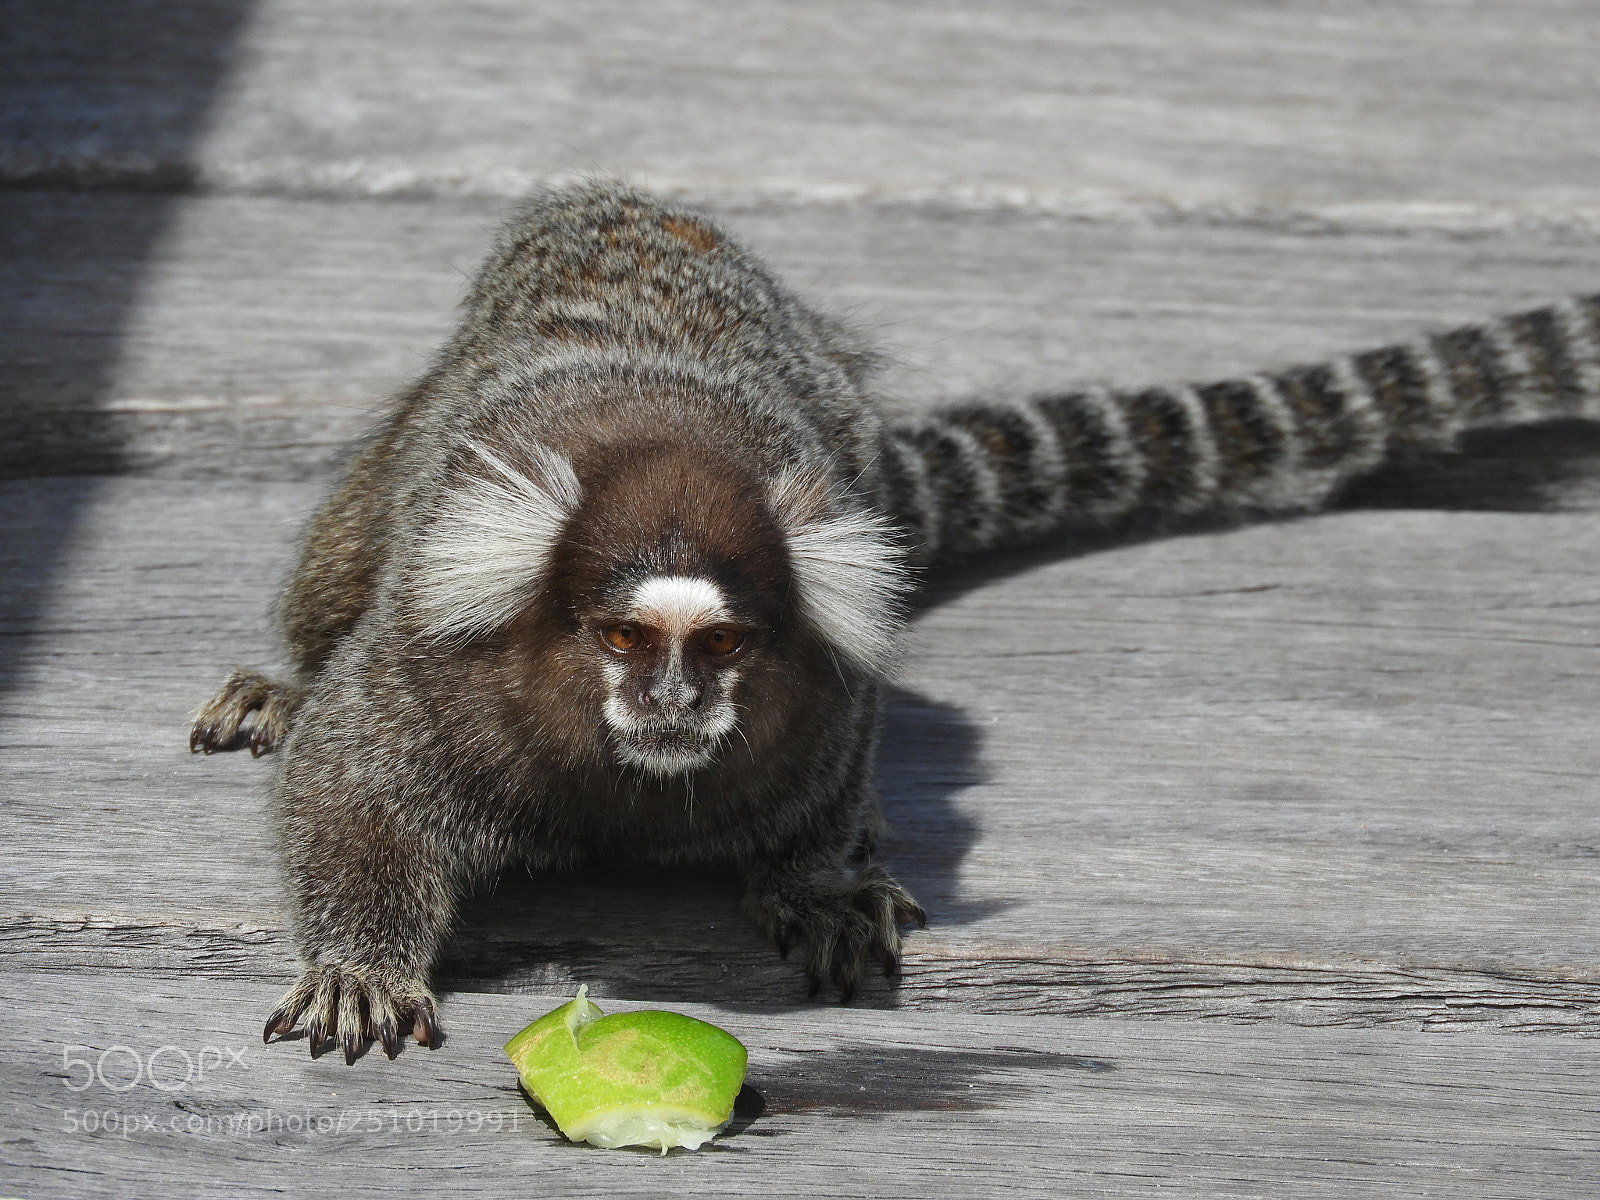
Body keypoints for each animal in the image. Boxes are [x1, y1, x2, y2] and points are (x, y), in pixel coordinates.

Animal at [190, 181, 1600, 1066]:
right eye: (624, 641)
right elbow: (351, 789)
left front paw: (821, 889)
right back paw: (286, 677)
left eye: (722, 648)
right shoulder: (434, 670)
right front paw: (364, 962)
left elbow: (829, 804)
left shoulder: (821, 712)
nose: (673, 703)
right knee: (348, 552)